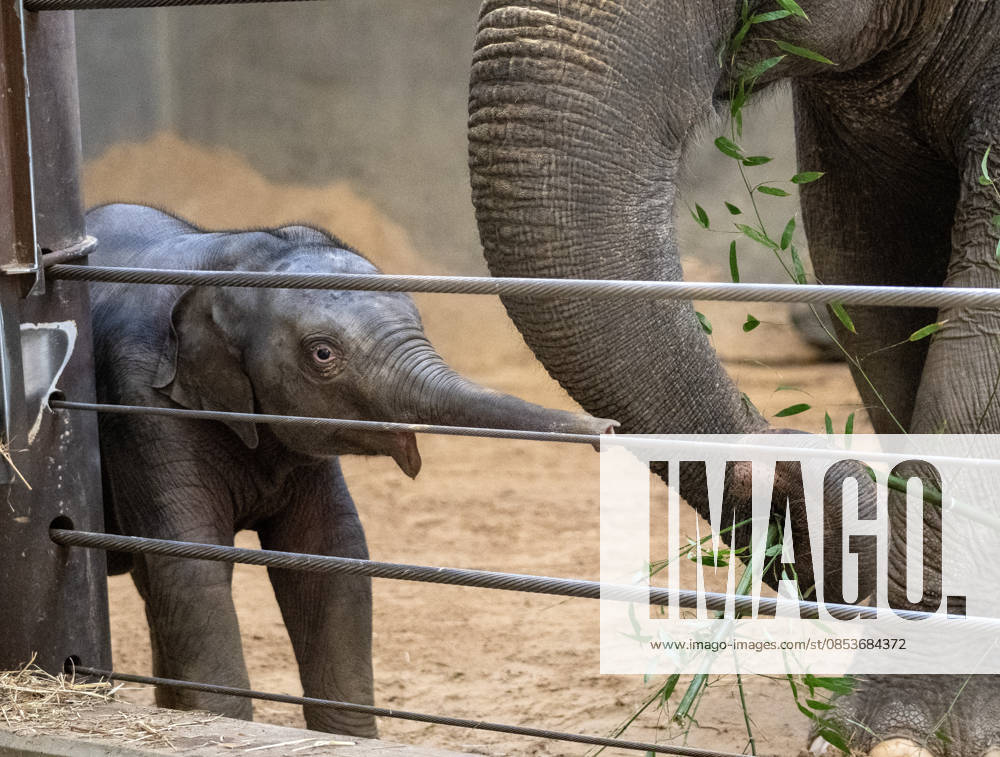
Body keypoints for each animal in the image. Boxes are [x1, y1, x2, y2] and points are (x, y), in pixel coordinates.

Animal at [85, 203, 614, 737]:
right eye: (322, 354)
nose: (608, 430)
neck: (230, 260)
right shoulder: (144, 408)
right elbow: (190, 563)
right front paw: (220, 725)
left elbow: (332, 556)